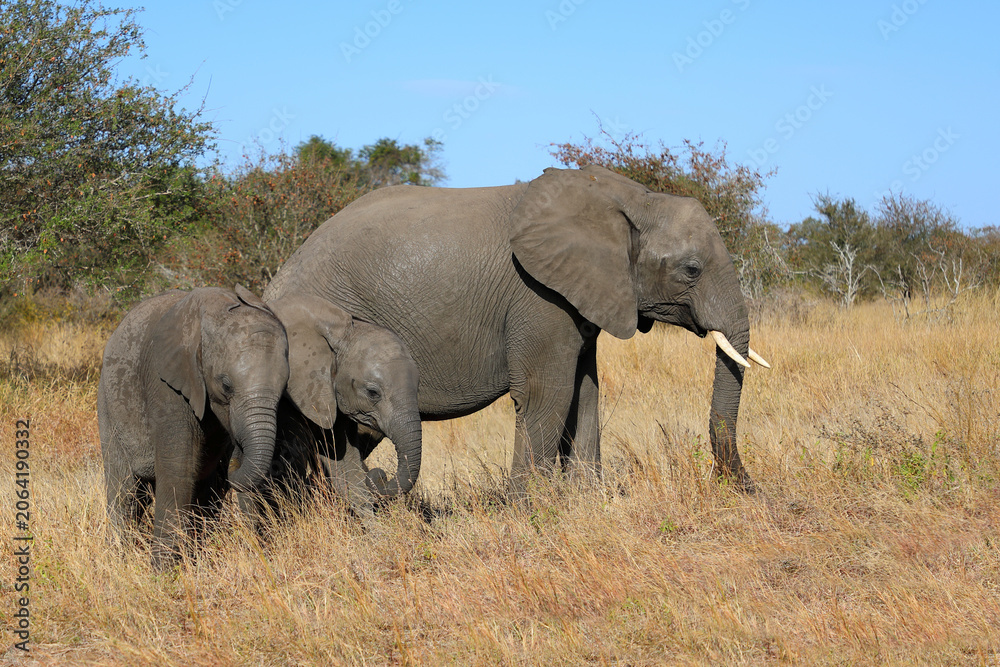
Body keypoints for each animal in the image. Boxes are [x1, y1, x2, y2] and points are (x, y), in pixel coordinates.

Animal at [98, 286, 289, 567]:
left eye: (285, 386)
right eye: (226, 385)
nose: (237, 454)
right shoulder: (166, 382)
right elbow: (179, 465)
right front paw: (165, 572)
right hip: (107, 404)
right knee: (125, 490)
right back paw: (120, 556)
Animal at [232, 294, 422, 523]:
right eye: (373, 393)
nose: (380, 476)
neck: (341, 331)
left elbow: (343, 464)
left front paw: (375, 530)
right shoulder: (286, 394)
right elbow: (284, 465)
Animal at [263, 165, 770, 495]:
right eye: (691, 269)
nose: (748, 489)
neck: (628, 199)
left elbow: (586, 390)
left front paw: (588, 501)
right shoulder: (538, 297)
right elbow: (549, 392)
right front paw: (533, 510)